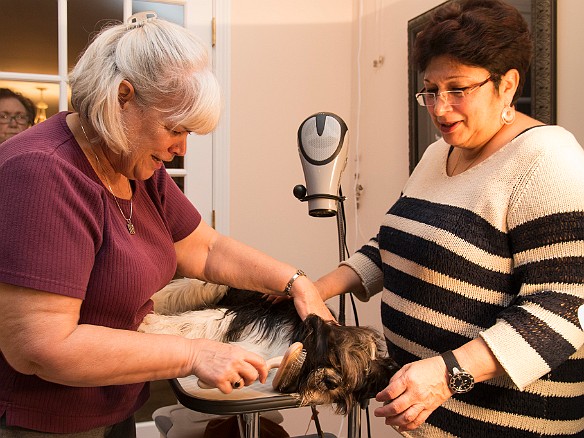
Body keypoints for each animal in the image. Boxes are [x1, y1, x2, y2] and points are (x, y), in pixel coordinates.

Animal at [139, 278, 400, 414]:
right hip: (214, 286)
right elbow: (201, 321)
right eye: (334, 354)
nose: (332, 382)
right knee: (181, 289)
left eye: (363, 373)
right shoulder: (244, 316)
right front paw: (152, 326)